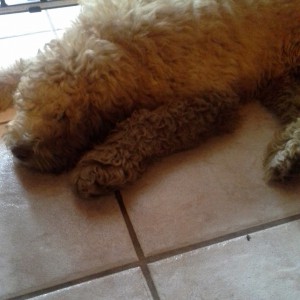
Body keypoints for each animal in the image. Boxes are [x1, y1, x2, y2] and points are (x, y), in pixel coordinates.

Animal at [0, 0, 300, 198]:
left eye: (64, 117)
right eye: (26, 100)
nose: (19, 150)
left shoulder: (212, 100)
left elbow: (146, 125)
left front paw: (100, 166)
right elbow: (19, 66)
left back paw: (287, 158)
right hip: (278, 79)